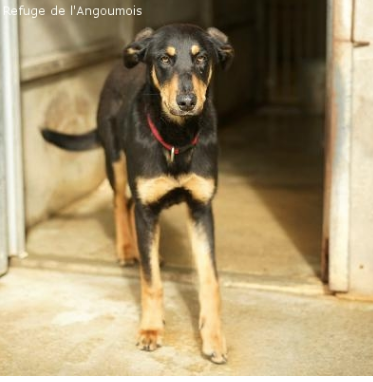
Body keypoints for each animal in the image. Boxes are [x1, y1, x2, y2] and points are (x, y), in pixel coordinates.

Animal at [40, 23, 232, 364]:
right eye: (164, 59)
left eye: (202, 59)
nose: (187, 101)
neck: (176, 136)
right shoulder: (146, 206)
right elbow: (150, 280)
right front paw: (151, 329)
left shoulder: (201, 208)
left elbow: (209, 280)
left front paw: (213, 338)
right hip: (116, 160)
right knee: (120, 203)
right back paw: (128, 249)